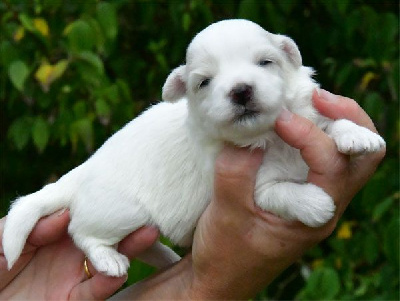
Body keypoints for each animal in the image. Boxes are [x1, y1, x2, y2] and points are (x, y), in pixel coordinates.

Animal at [2, 19, 384, 276]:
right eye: (205, 82)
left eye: (266, 62)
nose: (241, 90)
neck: (268, 138)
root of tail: (78, 173)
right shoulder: (254, 191)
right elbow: (283, 192)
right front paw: (317, 204)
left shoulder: (308, 118)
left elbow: (331, 123)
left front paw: (359, 136)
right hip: (121, 211)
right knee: (81, 232)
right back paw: (109, 261)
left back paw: (167, 259)